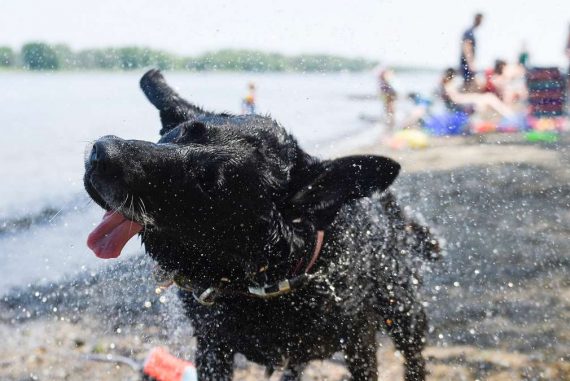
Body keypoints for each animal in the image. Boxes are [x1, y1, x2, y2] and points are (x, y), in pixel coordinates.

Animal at [85, 70, 440, 378]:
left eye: (209, 182)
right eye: (183, 132)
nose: (101, 152)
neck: (269, 278)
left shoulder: (359, 343)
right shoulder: (213, 346)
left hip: (406, 315)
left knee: (414, 358)